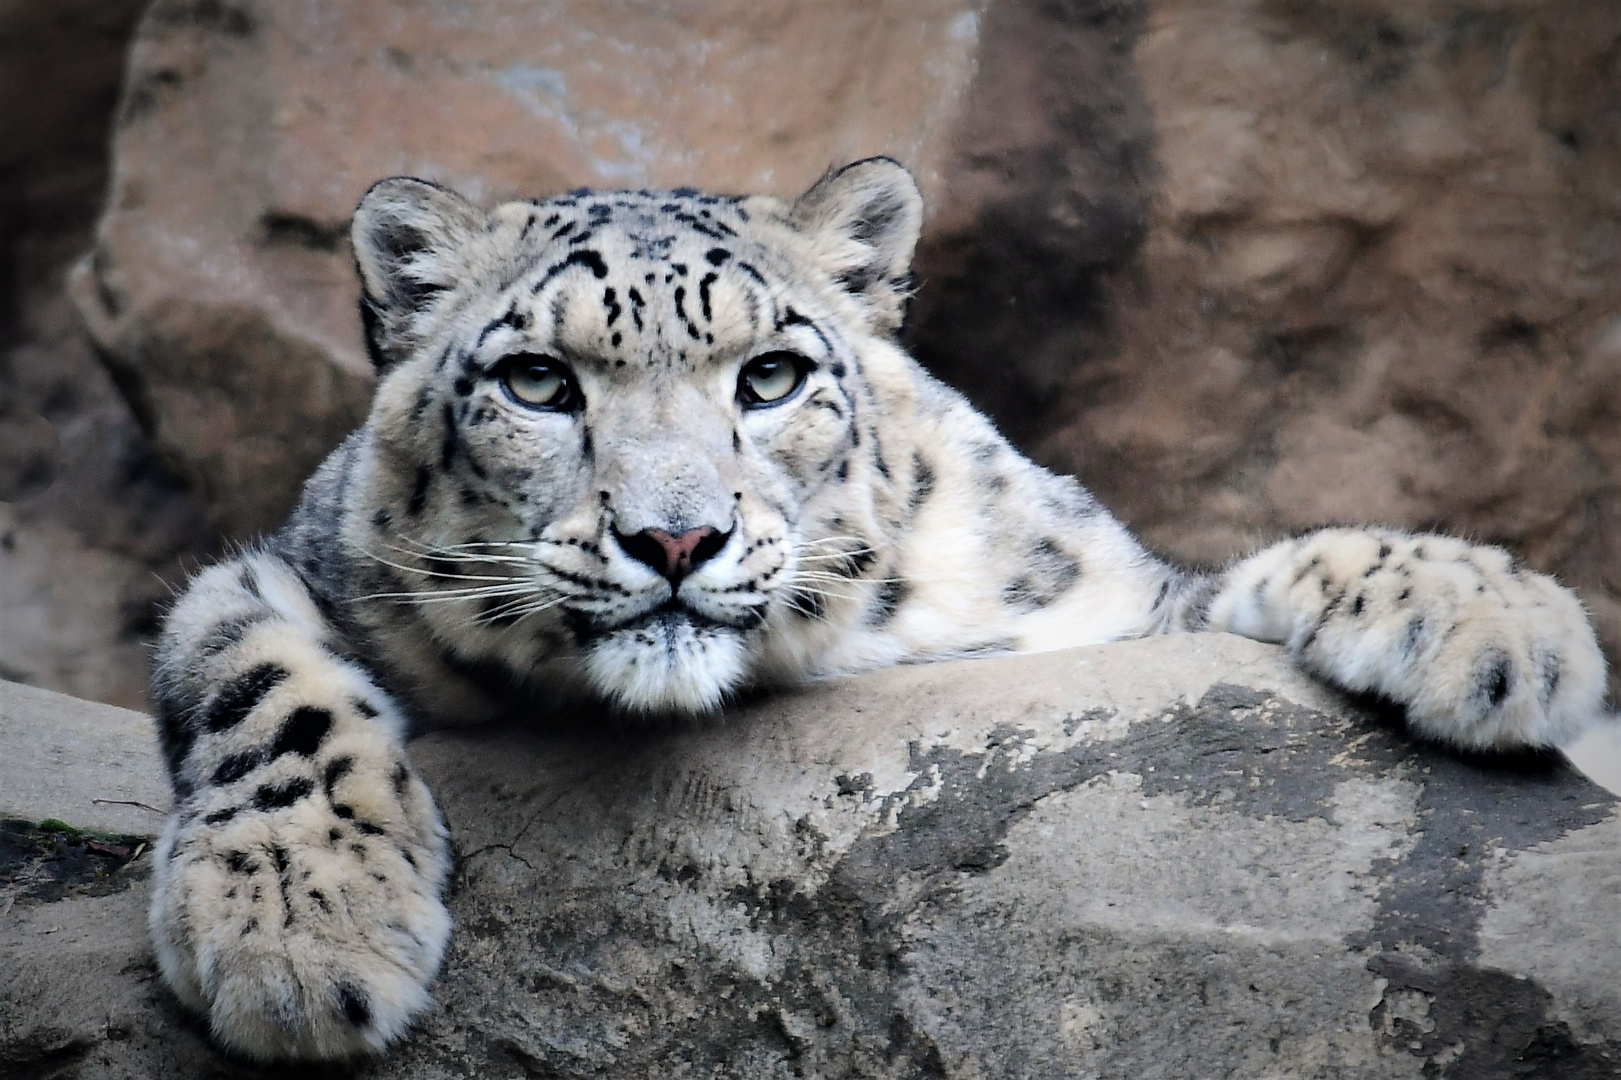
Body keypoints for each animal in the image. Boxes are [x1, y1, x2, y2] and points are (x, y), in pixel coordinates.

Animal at [142, 155, 1608, 1057]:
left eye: (772, 375)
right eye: (540, 382)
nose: (674, 535)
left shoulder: (1101, 608)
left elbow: (1238, 578)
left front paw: (1503, 622)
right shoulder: (284, 569)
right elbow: (256, 679)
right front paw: (296, 937)